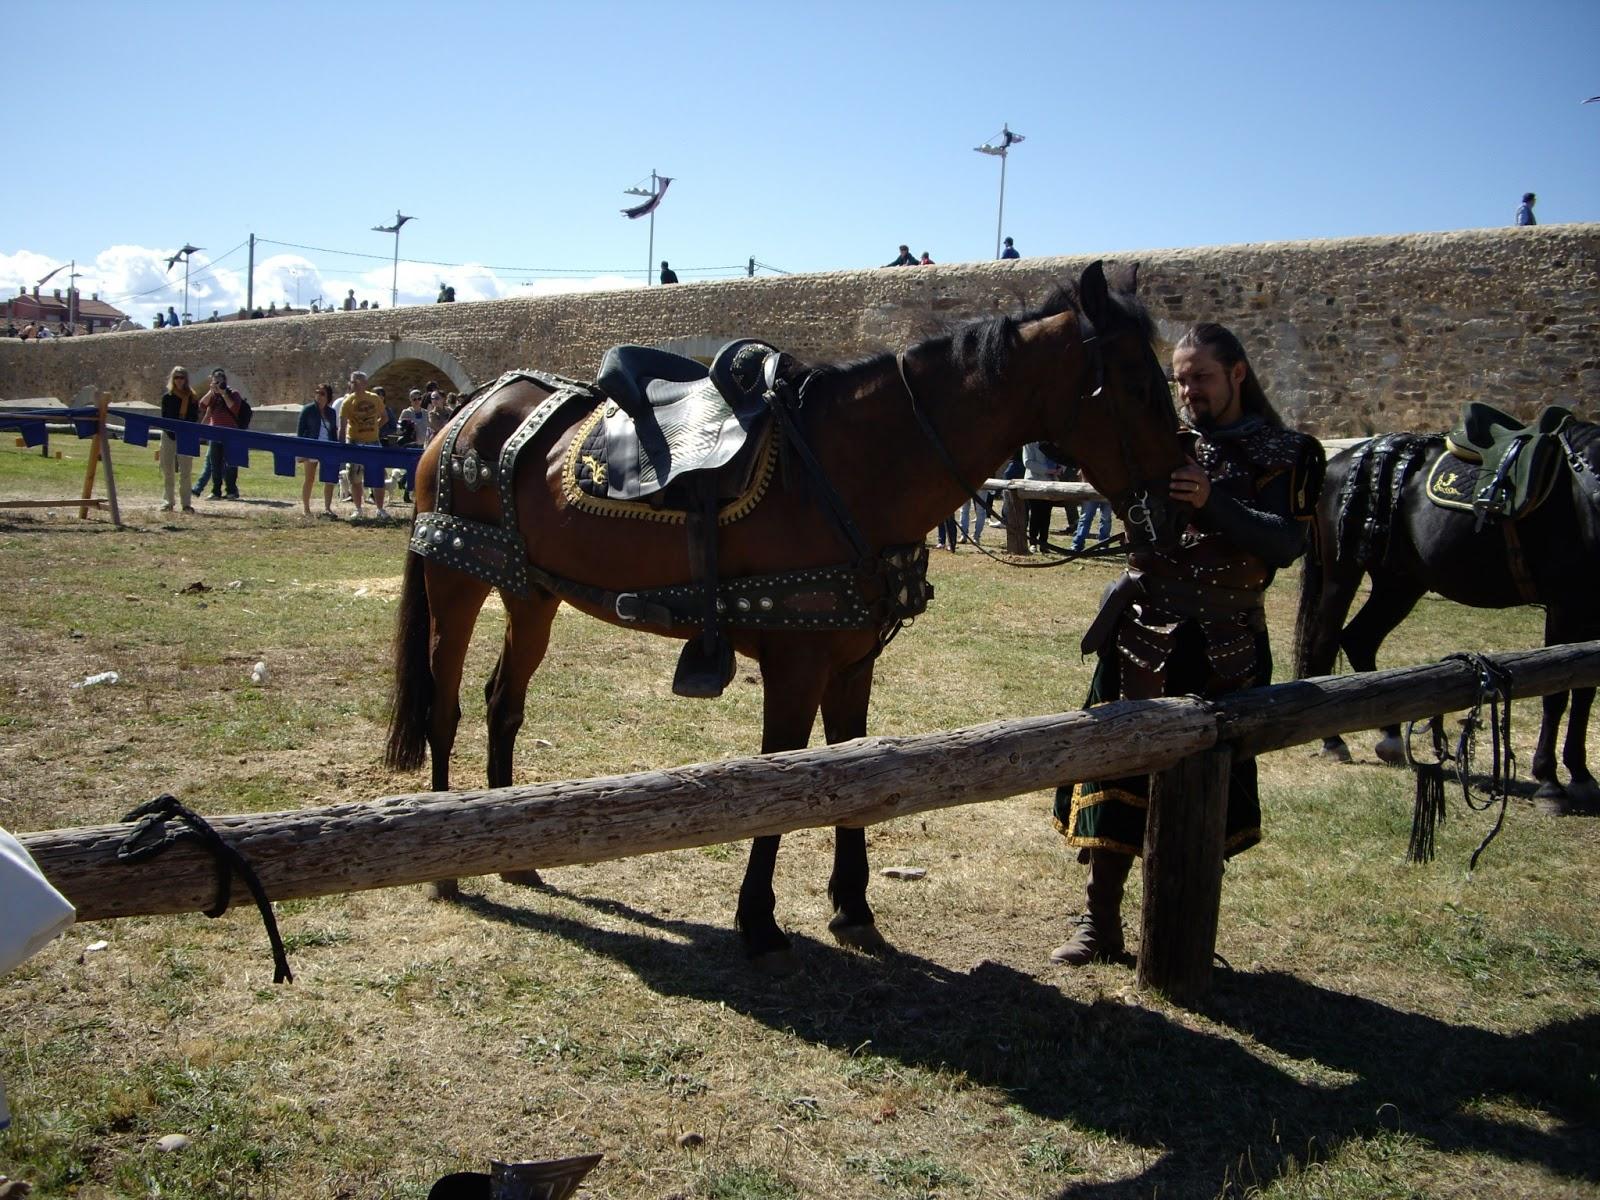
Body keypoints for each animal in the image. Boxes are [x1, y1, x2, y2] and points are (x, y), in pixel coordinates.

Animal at [384, 260, 1190, 966]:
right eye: (1139, 383)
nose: (1182, 501)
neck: (846, 468)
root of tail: (472, 408)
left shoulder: (854, 661)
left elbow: (854, 772)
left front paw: (853, 907)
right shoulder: (795, 662)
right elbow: (779, 777)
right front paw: (758, 921)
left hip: (531, 592)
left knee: (503, 701)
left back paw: (509, 854)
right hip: (457, 582)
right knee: (445, 706)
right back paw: (446, 865)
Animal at [1292, 425, 1600, 819]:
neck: (1583, 493)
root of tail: (1338, 462)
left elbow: (1585, 691)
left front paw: (1581, 776)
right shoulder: (1564, 607)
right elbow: (1558, 693)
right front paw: (1550, 784)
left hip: (1400, 582)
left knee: (1360, 639)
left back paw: (1391, 737)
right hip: (1342, 574)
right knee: (1325, 642)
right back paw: (1334, 742)